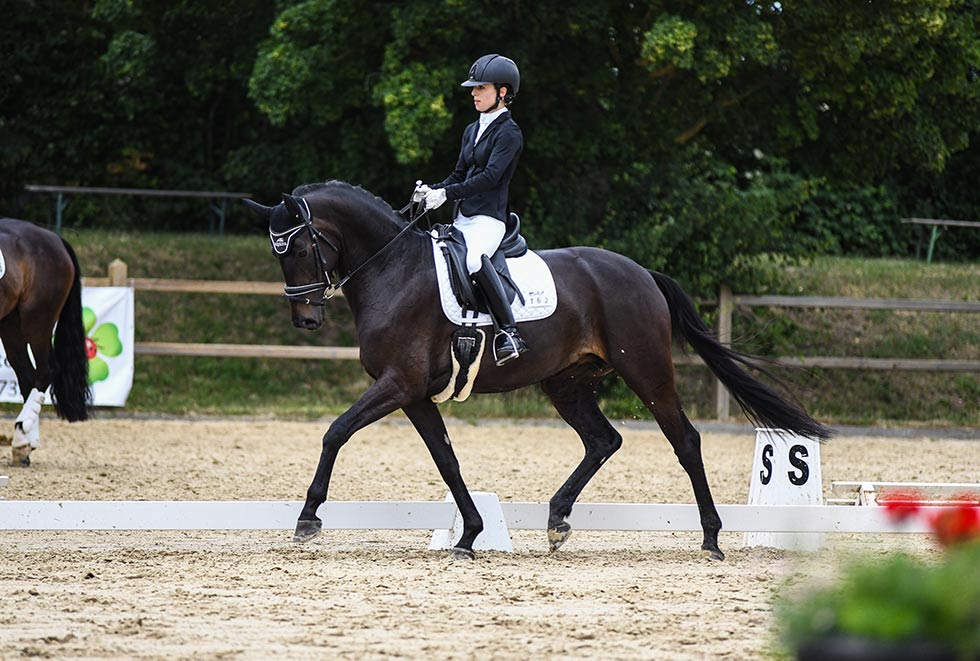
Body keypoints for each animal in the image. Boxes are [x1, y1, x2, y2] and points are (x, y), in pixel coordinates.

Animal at [0, 218, 91, 464]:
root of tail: (54, 238)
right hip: (10, 324)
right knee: (27, 376)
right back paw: (25, 445)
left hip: (37, 320)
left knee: (45, 371)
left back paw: (21, 439)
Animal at [243, 182, 828, 564]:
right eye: (277, 251)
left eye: (299, 245)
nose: (306, 319)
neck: (394, 270)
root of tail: (641, 272)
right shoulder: (414, 394)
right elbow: (446, 460)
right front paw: (469, 535)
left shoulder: (397, 384)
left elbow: (335, 431)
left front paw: (308, 518)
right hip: (567, 383)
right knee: (603, 440)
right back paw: (557, 521)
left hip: (646, 370)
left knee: (684, 440)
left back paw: (710, 539)